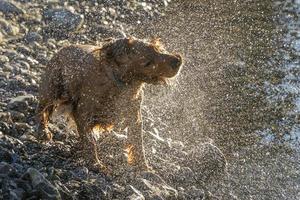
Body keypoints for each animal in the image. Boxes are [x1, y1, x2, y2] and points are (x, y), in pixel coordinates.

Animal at [36, 37, 184, 172]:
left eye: (157, 48)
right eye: (147, 63)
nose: (178, 60)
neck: (124, 85)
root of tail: (62, 48)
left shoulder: (134, 115)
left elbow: (137, 142)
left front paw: (143, 166)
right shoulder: (83, 113)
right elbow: (90, 142)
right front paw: (95, 163)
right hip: (51, 91)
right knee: (41, 111)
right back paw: (44, 132)